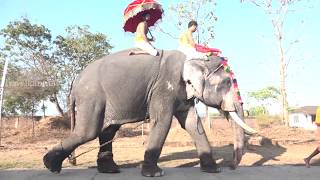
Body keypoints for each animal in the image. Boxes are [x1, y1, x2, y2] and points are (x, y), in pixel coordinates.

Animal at [43, 49, 256, 177]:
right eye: (226, 83)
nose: (231, 166)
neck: (192, 58)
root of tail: (75, 81)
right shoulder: (164, 86)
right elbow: (162, 121)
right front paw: (155, 174)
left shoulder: (181, 93)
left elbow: (191, 123)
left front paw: (213, 170)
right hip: (91, 96)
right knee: (88, 131)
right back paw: (50, 165)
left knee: (107, 130)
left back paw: (110, 170)